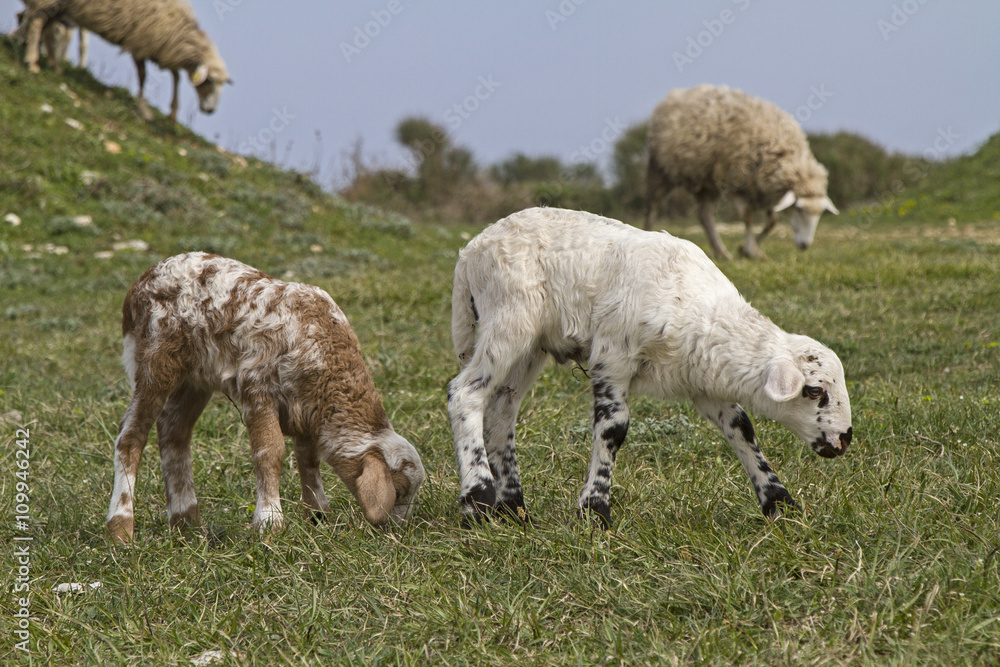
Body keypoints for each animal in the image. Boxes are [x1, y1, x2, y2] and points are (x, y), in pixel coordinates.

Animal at [21, 0, 229, 121]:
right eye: (209, 81)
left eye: (222, 84)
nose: (211, 110)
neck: (180, 31)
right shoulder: (140, 43)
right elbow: (144, 77)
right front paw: (144, 110)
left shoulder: (162, 48)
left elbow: (176, 76)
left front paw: (173, 111)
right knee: (38, 22)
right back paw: (31, 62)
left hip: (60, 6)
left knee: (47, 29)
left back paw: (53, 64)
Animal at [106, 252, 425, 543]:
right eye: (399, 491)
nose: (396, 530)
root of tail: (139, 285)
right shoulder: (257, 386)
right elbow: (270, 453)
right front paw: (269, 522)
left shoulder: (305, 407)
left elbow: (308, 460)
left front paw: (318, 517)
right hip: (156, 358)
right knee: (131, 435)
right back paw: (121, 529)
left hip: (196, 379)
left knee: (174, 432)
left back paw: (187, 523)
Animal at [447, 207, 852, 527]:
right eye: (814, 391)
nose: (845, 438)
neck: (700, 311)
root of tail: (470, 251)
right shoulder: (612, 356)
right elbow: (613, 429)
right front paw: (594, 511)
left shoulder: (702, 381)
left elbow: (741, 427)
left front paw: (779, 502)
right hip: (509, 317)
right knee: (464, 394)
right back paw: (478, 501)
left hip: (533, 345)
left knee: (501, 410)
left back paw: (514, 509)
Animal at [644, 84, 839, 260]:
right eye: (799, 209)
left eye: (820, 214)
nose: (805, 245)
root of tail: (677, 94)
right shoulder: (737, 183)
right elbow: (747, 217)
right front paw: (750, 250)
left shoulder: (763, 190)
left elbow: (772, 221)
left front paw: (748, 250)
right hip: (661, 169)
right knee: (652, 205)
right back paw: (648, 233)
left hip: (708, 183)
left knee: (704, 215)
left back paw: (722, 252)